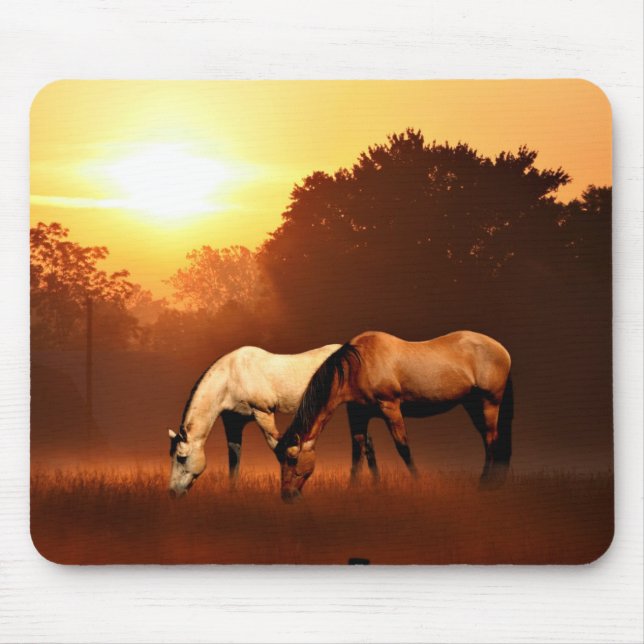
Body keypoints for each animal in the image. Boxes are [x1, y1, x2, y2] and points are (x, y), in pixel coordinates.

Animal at [167, 344, 380, 496]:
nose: (172, 492)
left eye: (181, 457)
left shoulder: (264, 413)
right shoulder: (233, 422)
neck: (232, 376)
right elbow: (234, 457)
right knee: (366, 441)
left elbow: (277, 447)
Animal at [276, 330, 513, 502]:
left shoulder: (390, 406)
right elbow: (360, 451)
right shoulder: (358, 413)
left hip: (490, 402)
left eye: (292, 458)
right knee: (487, 438)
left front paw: (418, 482)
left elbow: (403, 447)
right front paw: (357, 488)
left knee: (491, 438)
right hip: (472, 404)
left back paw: (486, 483)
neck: (359, 365)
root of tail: (502, 349)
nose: (286, 496)